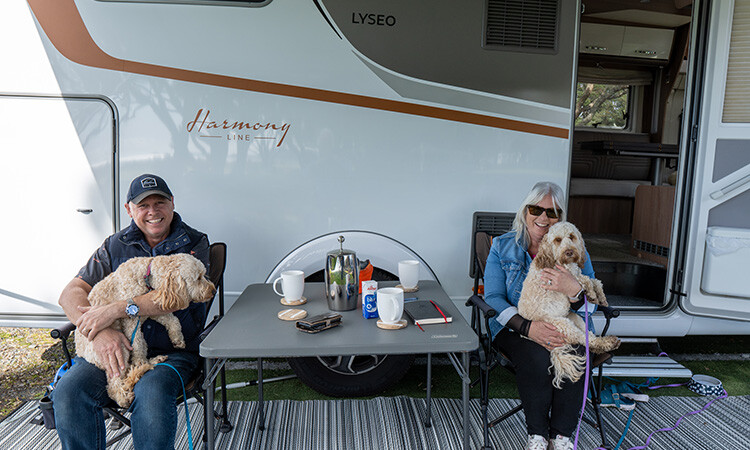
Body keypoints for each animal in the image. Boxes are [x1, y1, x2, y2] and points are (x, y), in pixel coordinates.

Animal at [75, 253, 216, 408]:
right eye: (198, 278)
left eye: (204, 274)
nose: (213, 291)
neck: (146, 275)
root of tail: (81, 353)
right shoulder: (131, 321)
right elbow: (137, 345)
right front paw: (140, 362)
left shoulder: (152, 311)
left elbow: (173, 321)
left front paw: (177, 339)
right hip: (118, 349)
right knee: (114, 387)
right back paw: (132, 383)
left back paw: (153, 361)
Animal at [520, 221, 620, 386]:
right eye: (557, 240)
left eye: (572, 237)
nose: (569, 252)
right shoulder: (561, 278)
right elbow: (585, 280)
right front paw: (591, 294)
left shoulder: (575, 274)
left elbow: (595, 281)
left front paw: (600, 297)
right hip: (563, 325)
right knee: (585, 340)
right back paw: (607, 343)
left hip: (575, 318)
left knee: (589, 338)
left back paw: (607, 343)